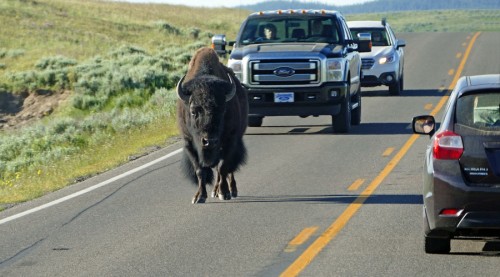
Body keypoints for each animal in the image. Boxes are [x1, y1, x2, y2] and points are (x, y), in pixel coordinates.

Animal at [176, 47, 248, 203]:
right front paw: (199, 197)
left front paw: (224, 193)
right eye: (193, 111)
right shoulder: (189, 143)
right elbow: (200, 170)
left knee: (228, 170)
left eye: (223, 110)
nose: (209, 141)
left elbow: (223, 168)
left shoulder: (229, 141)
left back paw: (230, 190)